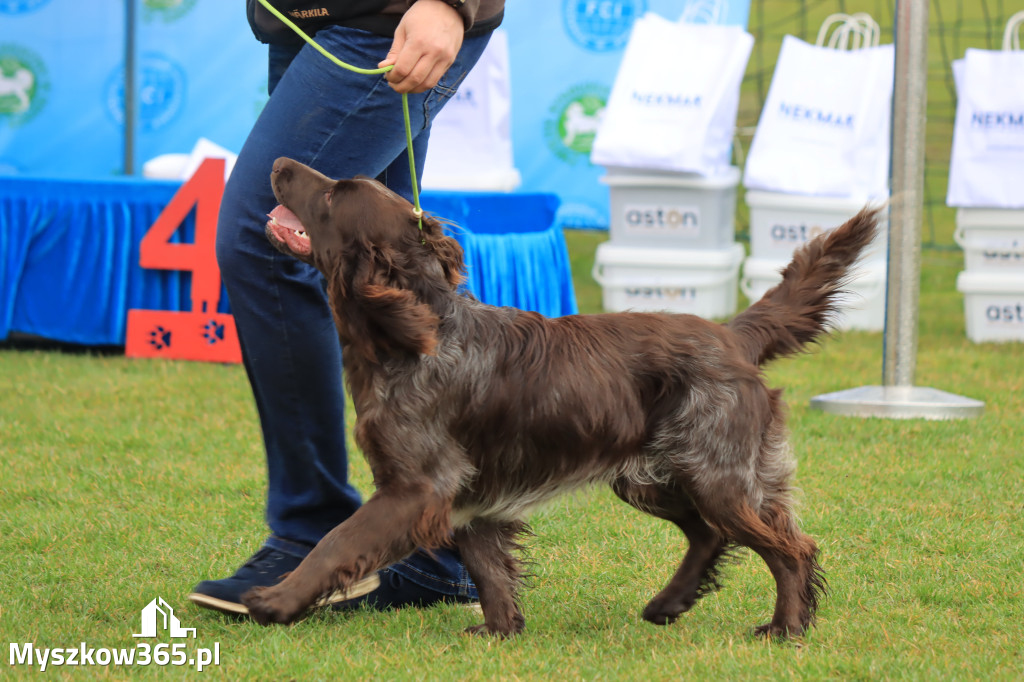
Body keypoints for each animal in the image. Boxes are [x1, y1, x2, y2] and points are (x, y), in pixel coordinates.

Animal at [241, 156, 880, 638]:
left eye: (332, 196)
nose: (278, 162)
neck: (410, 335)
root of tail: (733, 334)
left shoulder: (416, 489)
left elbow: (334, 541)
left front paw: (275, 601)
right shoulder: (466, 496)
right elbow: (488, 568)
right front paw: (499, 629)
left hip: (715, 475)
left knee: (789, 547)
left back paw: (787, 627)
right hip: (652, 477)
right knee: (710, 534)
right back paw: (668, 603)